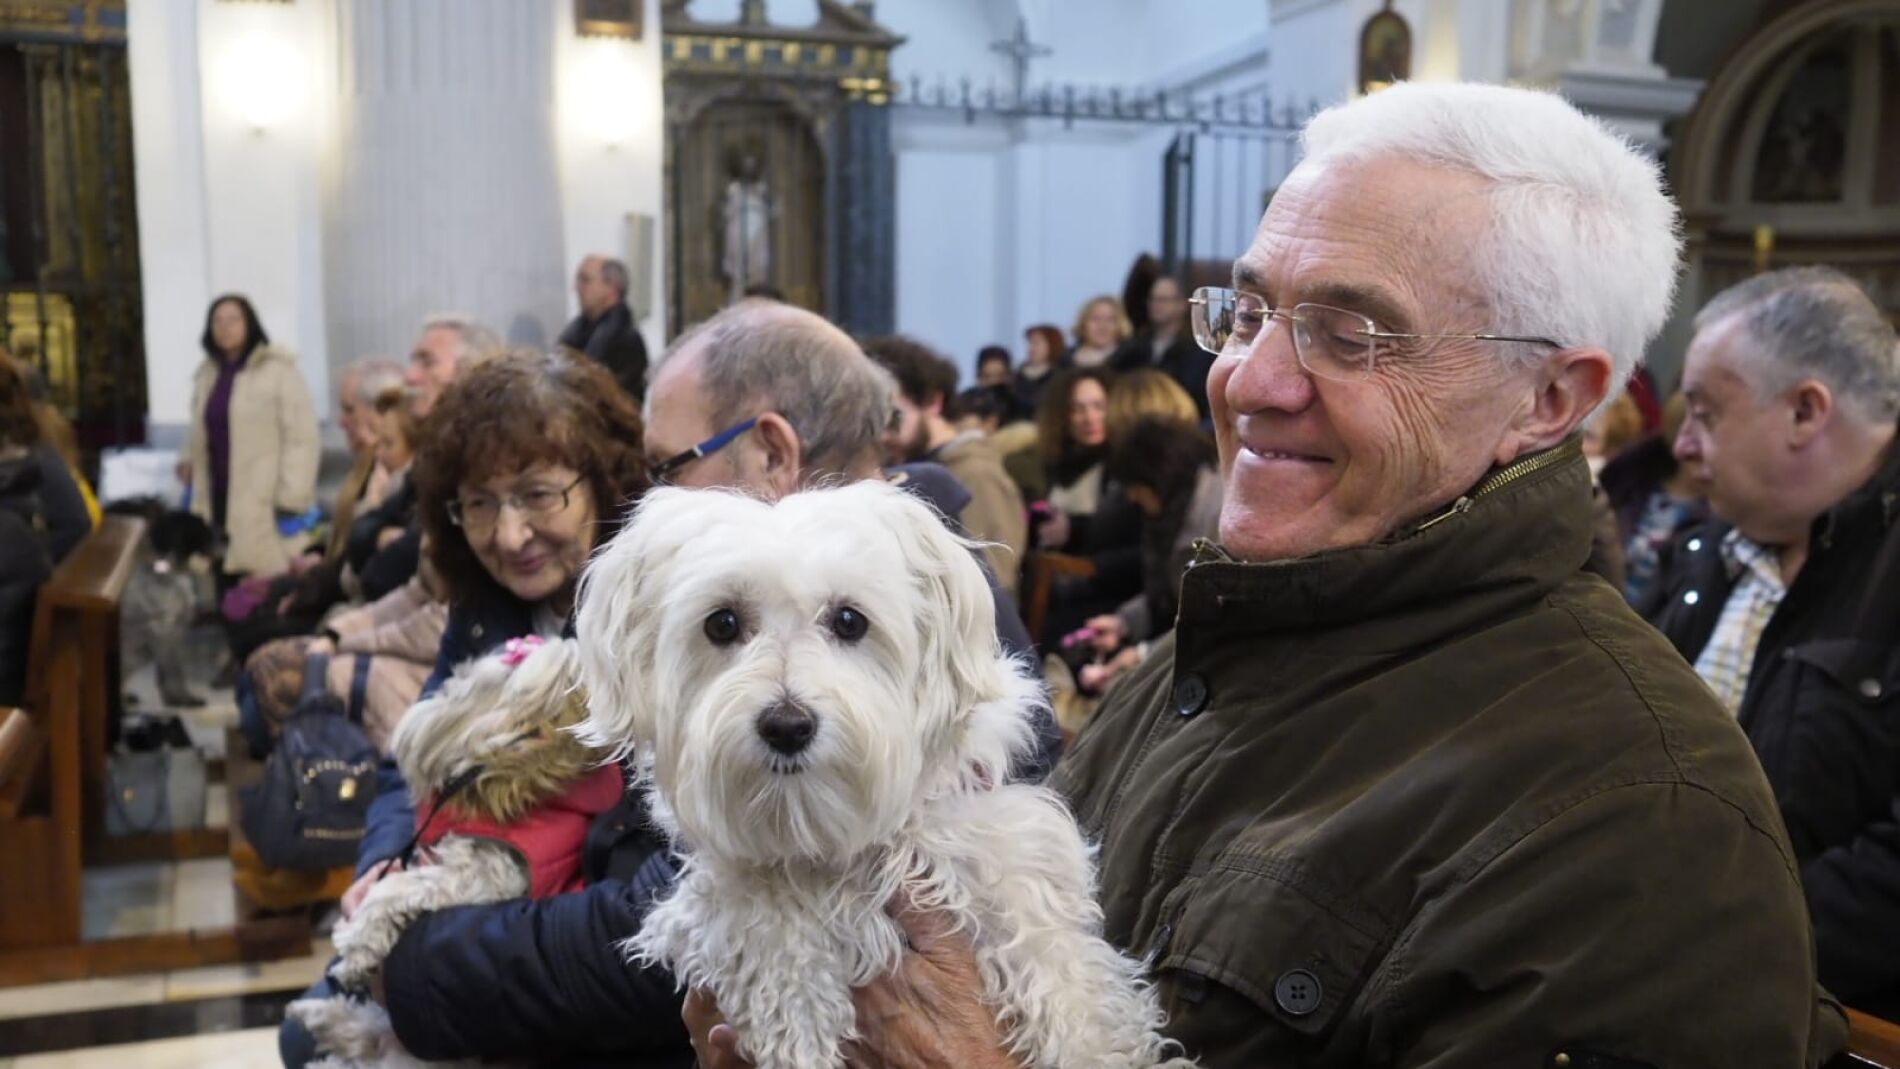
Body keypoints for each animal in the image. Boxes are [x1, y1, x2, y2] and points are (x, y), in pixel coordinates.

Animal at [288, 635, 621, 1069]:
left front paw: (356, 942)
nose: (452, 674)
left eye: (477, 682)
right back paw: (314, 1014)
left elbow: (396, 891)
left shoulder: (485, 871)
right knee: (358, 1033)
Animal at [576, 482, 1191, 1069]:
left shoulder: (996, 841)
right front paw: (797, 1013)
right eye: (722, 623)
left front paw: (1089, 1040)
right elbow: (754, 903)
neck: (824, 829)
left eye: (849, 620)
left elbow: (1048, 945)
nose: (787, 725)